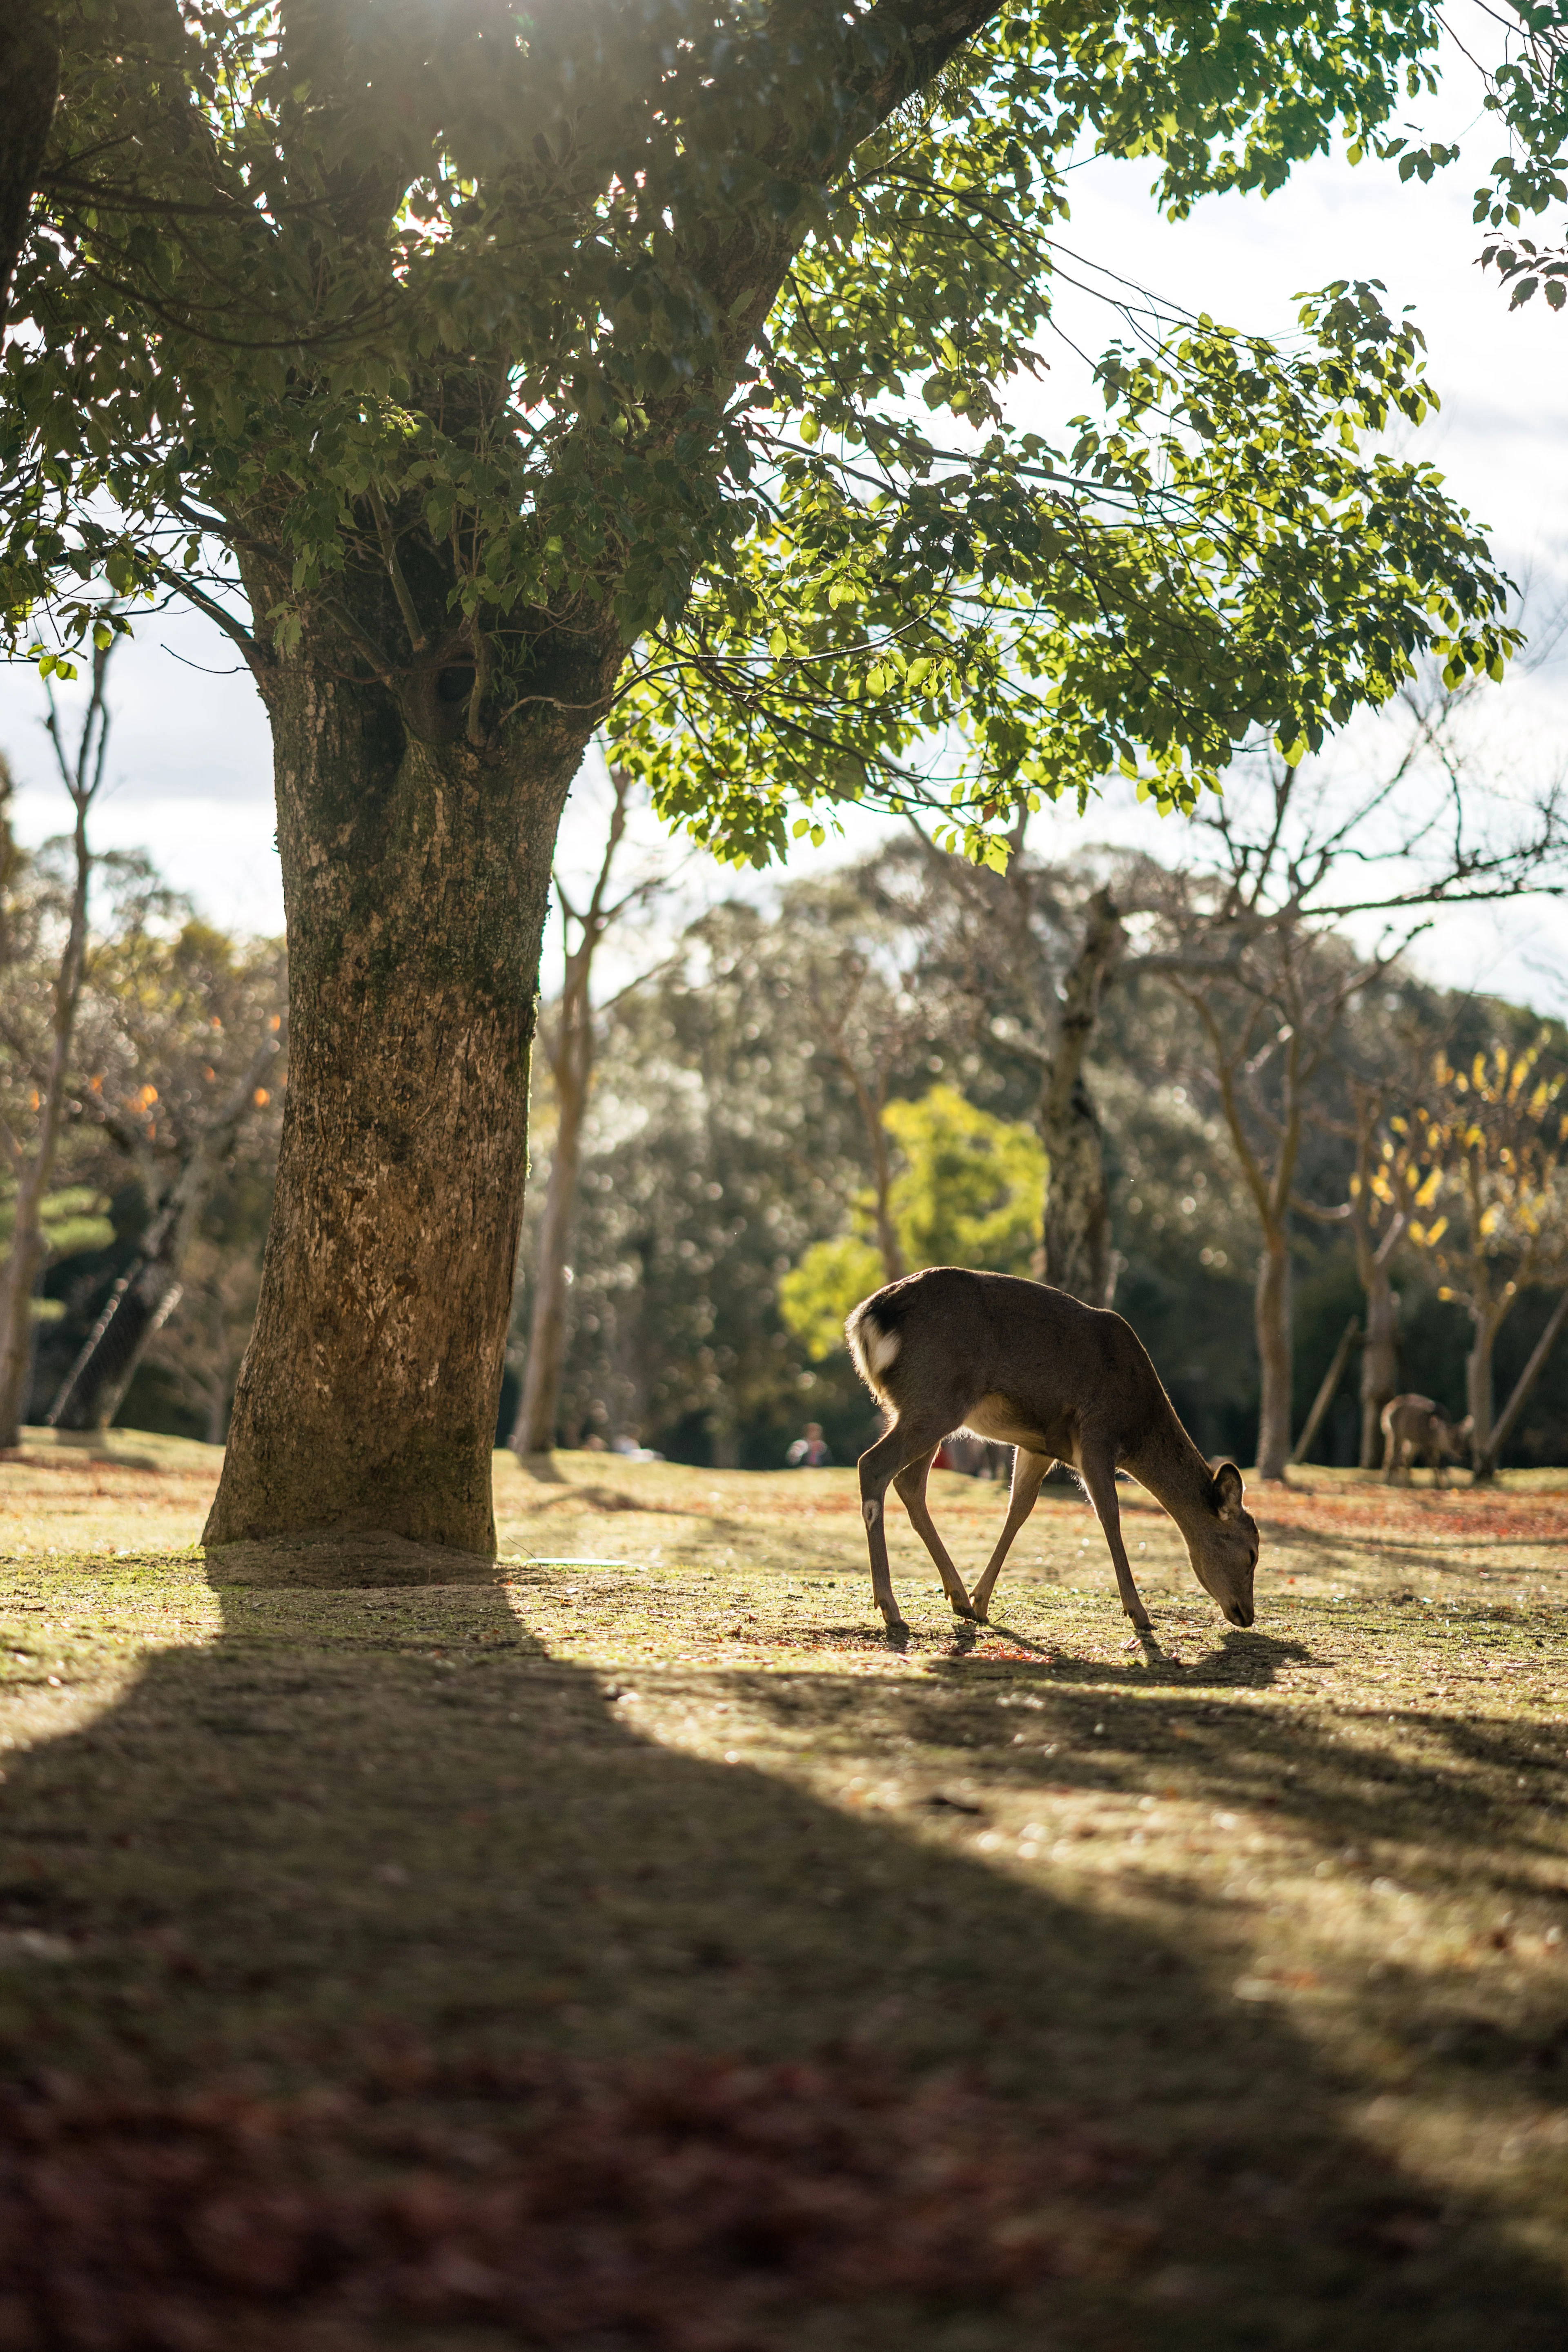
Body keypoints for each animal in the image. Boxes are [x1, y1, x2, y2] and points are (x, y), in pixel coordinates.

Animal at [846, 1267, 1259, 1643]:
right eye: (1253, 1552)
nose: (1247, 1614)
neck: (1137, 1422)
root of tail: (865, 1320)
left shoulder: (1038, 1446)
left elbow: (1019, 1509)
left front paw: (982, 1602)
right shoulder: (1095, 1435)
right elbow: (1110, 1515)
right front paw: (1139, 1613)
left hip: (921, 1409)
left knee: (909, 1484)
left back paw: (958, 1597)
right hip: (934, 1399)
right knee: (873, 1465)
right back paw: (891, 1608)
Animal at [1380, 1394, 1473, 1486]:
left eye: (1465, 1440)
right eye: (1451, 1439)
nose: (1463, 1454)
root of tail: (1388, 1408)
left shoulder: (1434, 1448)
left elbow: (1438, 1464)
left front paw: (1442, 1483)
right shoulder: (1424, 1443)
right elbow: (1432, 1463)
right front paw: (1436, 1483)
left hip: (1412, 1441)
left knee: (1406, 1458)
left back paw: (1409, 1483)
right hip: (1396, 1433)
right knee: (1391, 1455)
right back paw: (1388, 1481)